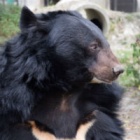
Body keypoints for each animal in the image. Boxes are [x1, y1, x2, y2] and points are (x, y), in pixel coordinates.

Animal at [0, 6, 124, 140]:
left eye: (108, 45)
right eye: (94, 46)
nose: (118, 70)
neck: (64, 89)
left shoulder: (95, 115)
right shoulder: (17, 110)